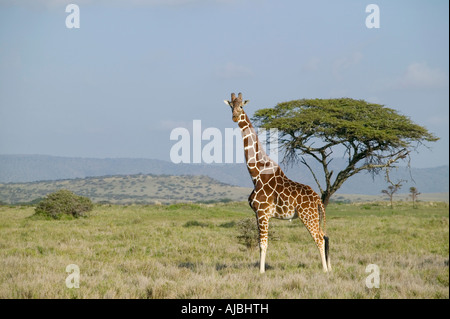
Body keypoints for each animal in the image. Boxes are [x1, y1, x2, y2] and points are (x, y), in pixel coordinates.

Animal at [224, 92, 330, 272]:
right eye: (231, 105)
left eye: (242, 106)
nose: (234, 117)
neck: (256, 175)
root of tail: (318, 199)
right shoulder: (258, 214)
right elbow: (261, 243)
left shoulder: (262, 212)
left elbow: (263, 244)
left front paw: (261, 272)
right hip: (314, 215)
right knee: (324, 236)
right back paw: (329, 268)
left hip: (307, 215)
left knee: (319, 238)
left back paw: (325, 271)